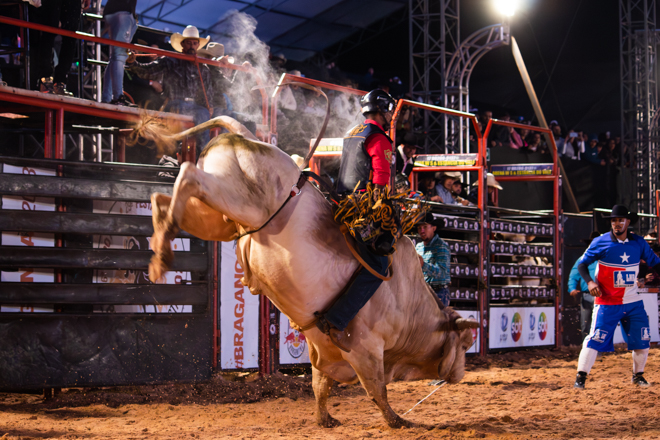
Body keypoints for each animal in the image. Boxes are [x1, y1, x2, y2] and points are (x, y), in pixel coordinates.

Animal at [139, 114, 480, 430]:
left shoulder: (324, 347)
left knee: (164, 198)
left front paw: (324, 418)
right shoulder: (367, 348)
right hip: (236, 198)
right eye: (465, 343)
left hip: (218, 219)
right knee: (189, 175)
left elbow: (320, 385)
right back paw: (163, 250)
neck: (409, 303)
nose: (459, 374)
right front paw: (397, 420)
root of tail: (248, 136)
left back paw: (161, 245)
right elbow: (376, 389)